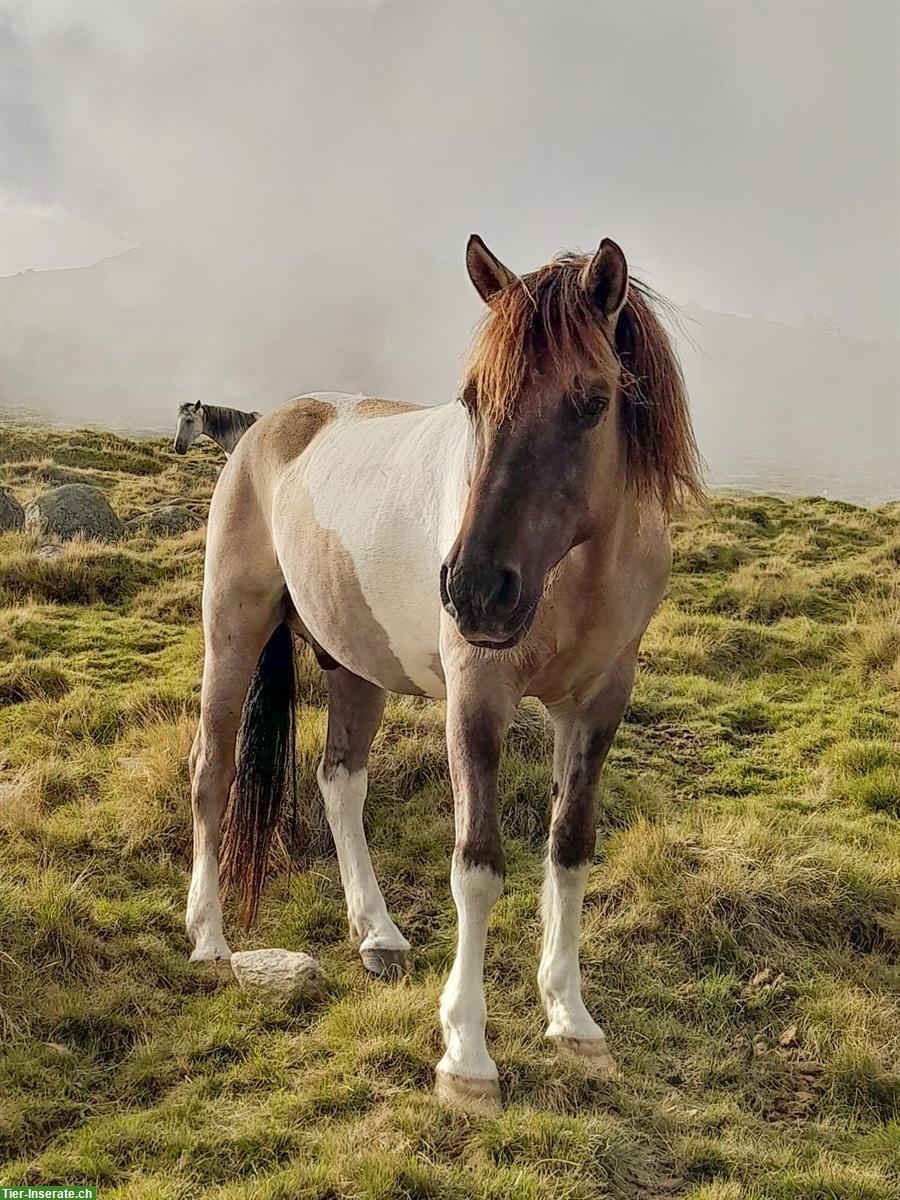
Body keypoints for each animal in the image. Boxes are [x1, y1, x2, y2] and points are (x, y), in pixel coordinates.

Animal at [184, 234, 705, 1113]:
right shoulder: (478, 698)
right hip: (232, 634)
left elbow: (570, 848)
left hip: (352, 665)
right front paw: (466, 1054)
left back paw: (378, 933)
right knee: (212, 771)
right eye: (471, 400)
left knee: (340, 781)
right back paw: (210, 940)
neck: (576, 573)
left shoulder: (598, 704)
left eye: (593, 400)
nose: (473, 588)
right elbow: (478, 866)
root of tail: (268, 427)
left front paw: (571, 1017)